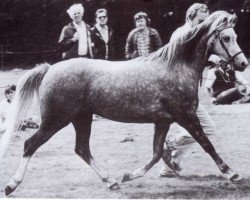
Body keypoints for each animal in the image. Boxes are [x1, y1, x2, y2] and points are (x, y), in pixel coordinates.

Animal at [0, 10, 248, 195]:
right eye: (226, 37)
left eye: (236, 36)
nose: (243, 64)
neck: (176, 66)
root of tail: (49, 69)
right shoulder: (186, 116)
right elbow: (207, 144)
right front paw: (232, 173)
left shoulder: (163, 121)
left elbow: (157, 152)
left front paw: (130, 175)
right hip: (56, 119)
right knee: (30, 144)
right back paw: (12, 185)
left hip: (81, 119)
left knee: (82, 149)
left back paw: (112, 181)